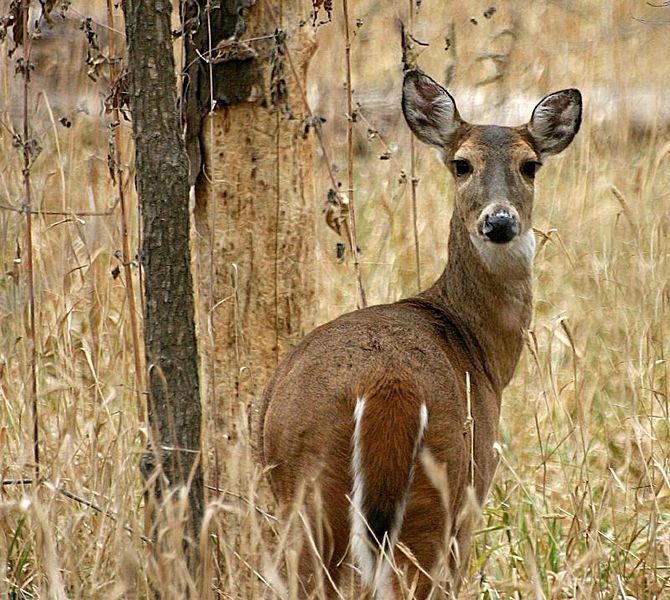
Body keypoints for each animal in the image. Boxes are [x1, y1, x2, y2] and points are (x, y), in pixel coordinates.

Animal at [260, 69, 580, 596]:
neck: (477, 348)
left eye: (530, 164)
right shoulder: (476, 487)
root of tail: (389, 387)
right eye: (461, 164)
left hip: (304, 498)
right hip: (438, 493)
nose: (499, 221)